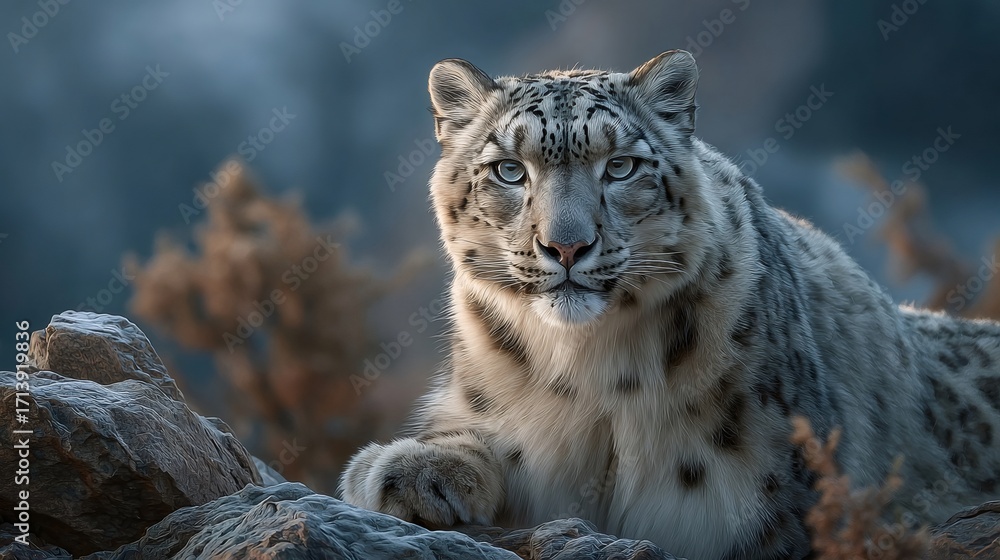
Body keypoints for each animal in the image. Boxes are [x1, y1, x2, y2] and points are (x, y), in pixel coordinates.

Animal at [341, 51, 1000, 560]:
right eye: (508, 170)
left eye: (620, 166)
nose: (566, 245)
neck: (586, 371)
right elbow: (474, 437)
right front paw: (406, 471)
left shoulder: (765, 508)